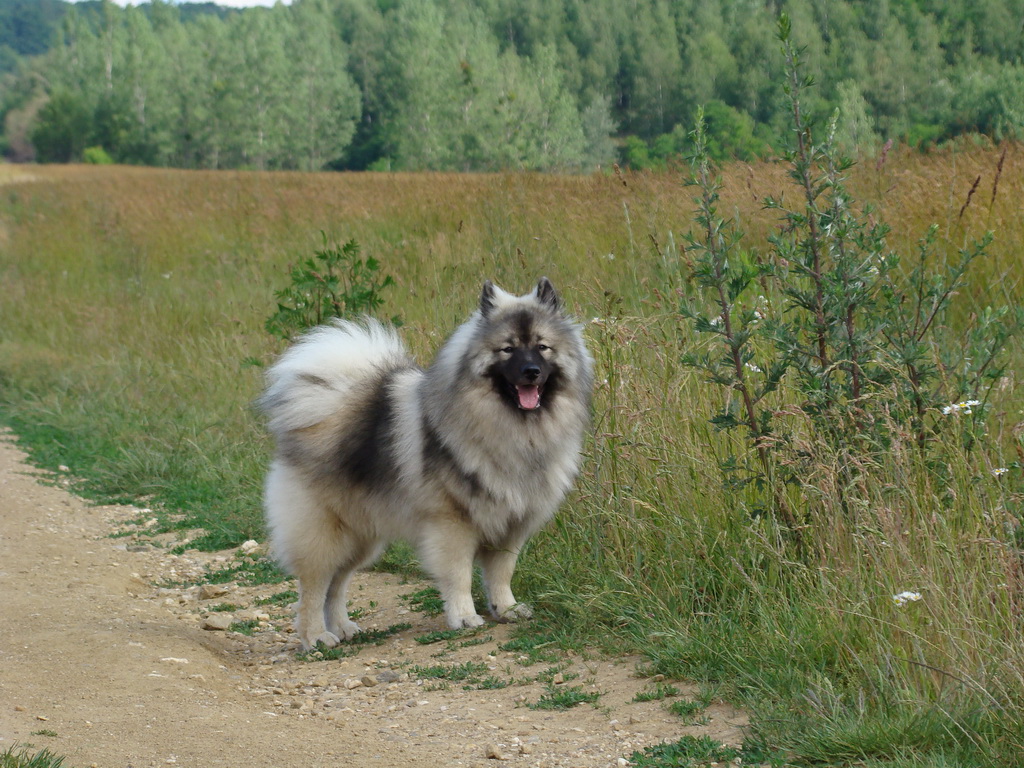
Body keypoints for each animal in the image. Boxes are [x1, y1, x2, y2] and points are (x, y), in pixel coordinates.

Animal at [260, 278, 593, 651]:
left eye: (542, 347)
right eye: (507, 350)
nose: (531, 372)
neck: (514, 431)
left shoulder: (511, 522)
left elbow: (502, 572)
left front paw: (506, 608)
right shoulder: (453, 524)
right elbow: (459, 575)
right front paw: (464, 617)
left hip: (361, 536)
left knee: (338, 583)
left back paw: (343, 627)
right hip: (324, 534)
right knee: (314, 587)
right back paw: (316, 635)